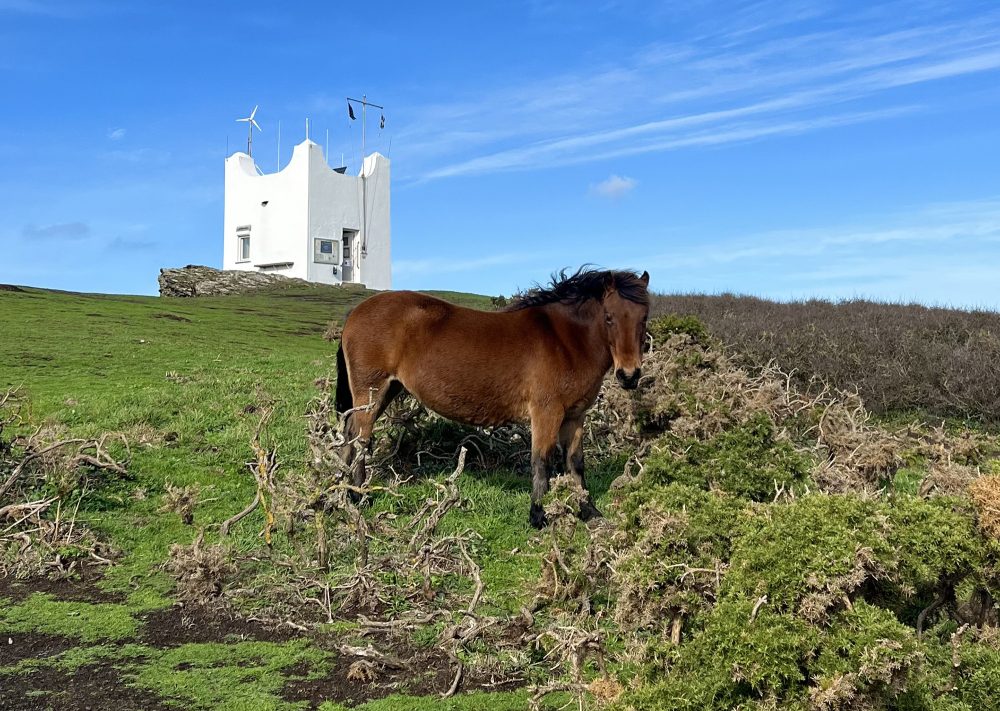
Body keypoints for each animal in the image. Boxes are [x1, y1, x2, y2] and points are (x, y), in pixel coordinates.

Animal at [336, 268, 648, 528]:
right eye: (609, 317)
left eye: (643, 318)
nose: (629, 375)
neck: (565, 340)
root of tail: (355, 313)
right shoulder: (547, 412)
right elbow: (541, 461)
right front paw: (539, 515)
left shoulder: (575, 415)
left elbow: (576, 462)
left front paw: (589, 511)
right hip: (371, 391)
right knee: (360, 439)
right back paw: (359, 496)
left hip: (387, 392)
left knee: (350, 434)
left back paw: (345, 488)